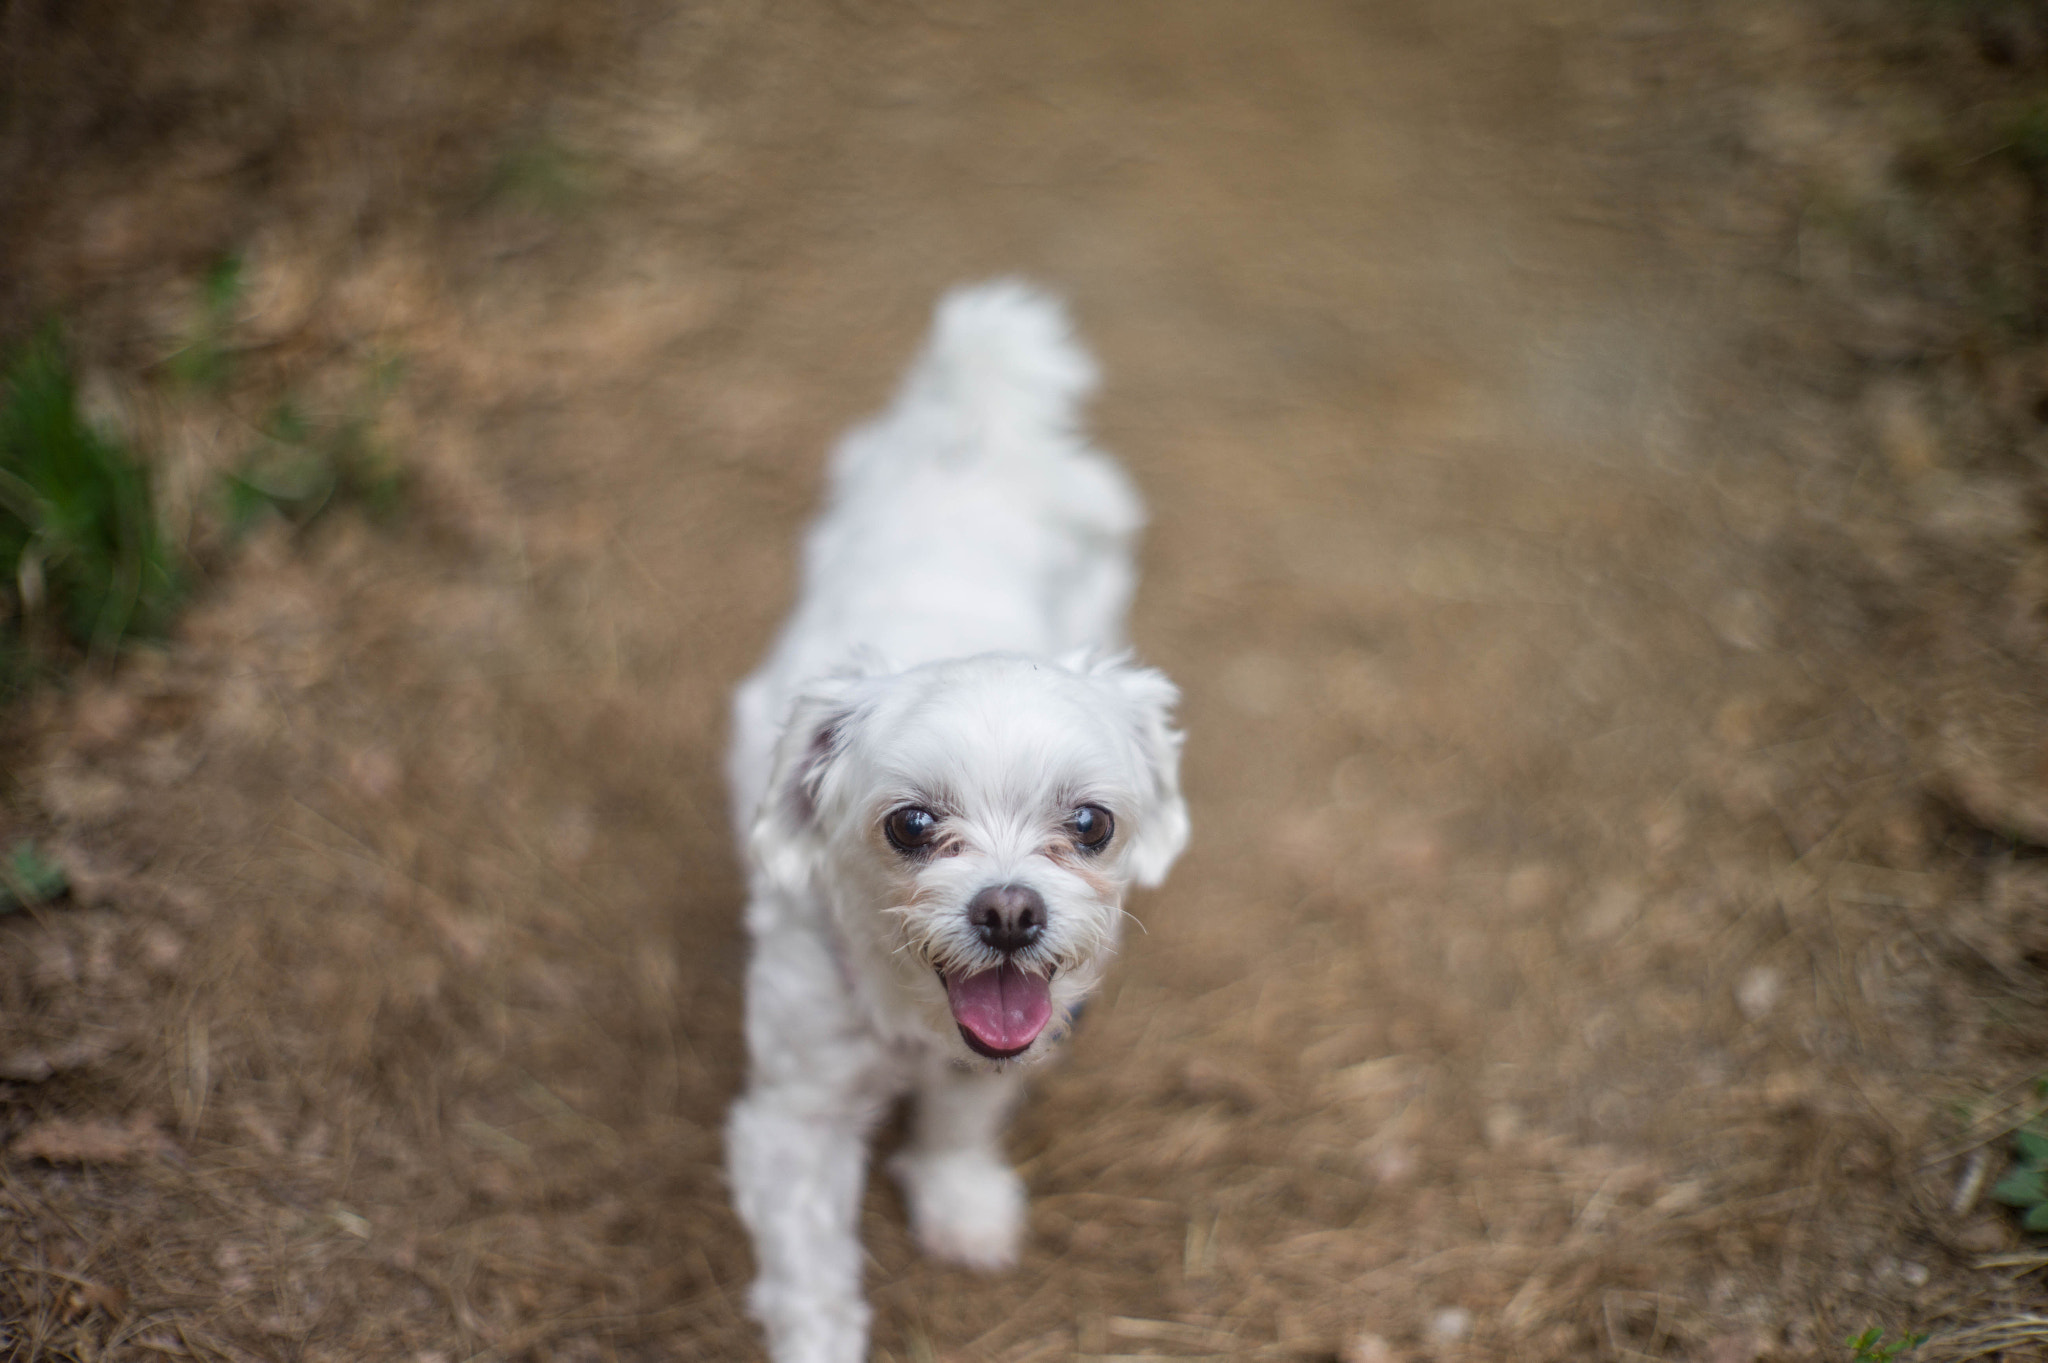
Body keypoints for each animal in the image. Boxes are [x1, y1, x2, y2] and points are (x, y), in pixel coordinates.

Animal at [729, 278, 1196, 1358]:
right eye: (908, 825)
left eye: (1090, 822)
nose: (1011, 913)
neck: (911, 1018)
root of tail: (978, 430)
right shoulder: (794, 1116)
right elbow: (812, 1282)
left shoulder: (1016, 1038)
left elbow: (959, 1122)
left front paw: (961, 1204)